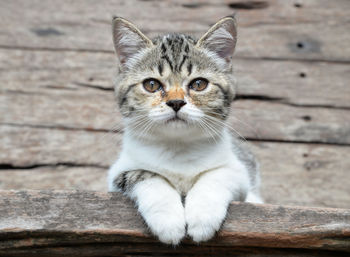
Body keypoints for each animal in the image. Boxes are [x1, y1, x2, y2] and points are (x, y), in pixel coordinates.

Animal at [107, 15, 262, 244]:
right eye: (151, 84)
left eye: (199, 84)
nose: (176, 102)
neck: (178, 148)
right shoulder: (117, 174)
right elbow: (145, 175)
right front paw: (168, 221)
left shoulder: (238, 172)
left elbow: (216, 175)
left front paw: (202, 217)